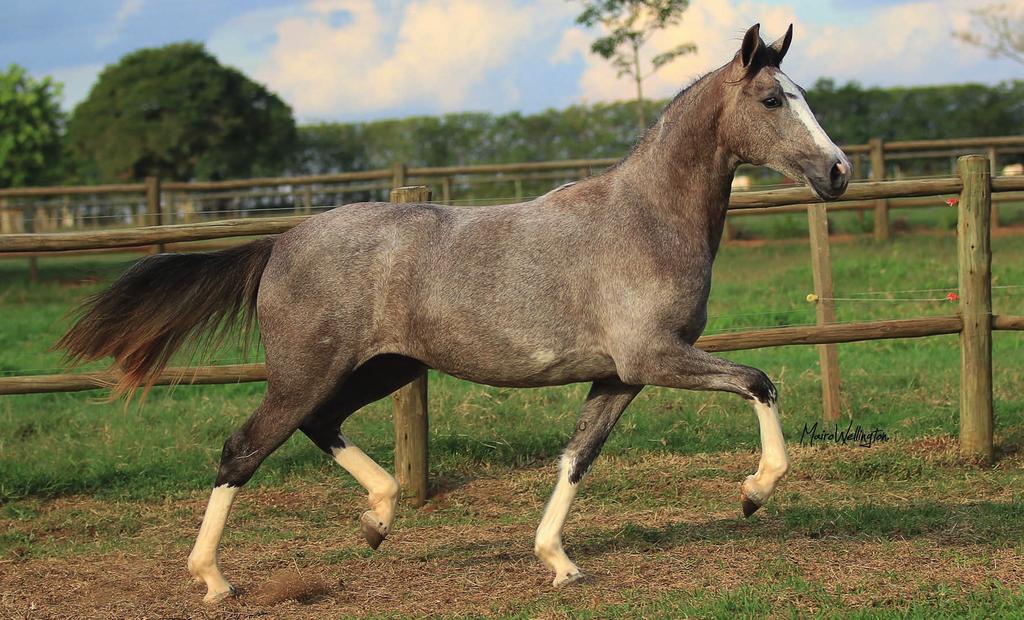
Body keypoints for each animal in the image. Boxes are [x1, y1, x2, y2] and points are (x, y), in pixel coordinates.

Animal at [59, 25, 851, 602]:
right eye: (774, 100)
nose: (839, 171)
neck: (647, 218)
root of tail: (281, 241)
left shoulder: (619, 376)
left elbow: (577, 457)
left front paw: (556, 561)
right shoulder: (656, 358)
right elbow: (759, 382)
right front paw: (754, 493)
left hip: (381, 368)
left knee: (320, 426)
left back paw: (378, 519)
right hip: (305, 372)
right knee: (242, 450)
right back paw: (215, 579)